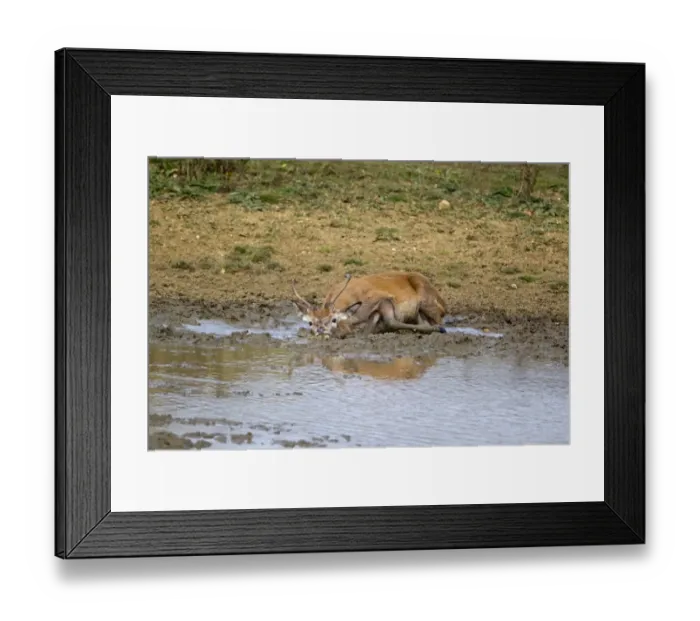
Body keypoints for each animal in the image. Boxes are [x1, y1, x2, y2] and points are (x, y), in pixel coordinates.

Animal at [291, 271, 448, 338]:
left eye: (334, 319)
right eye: (310, 323)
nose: (321, 331)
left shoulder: (384, 298)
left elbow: (391, 321)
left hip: (426, 299)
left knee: (438, 321)